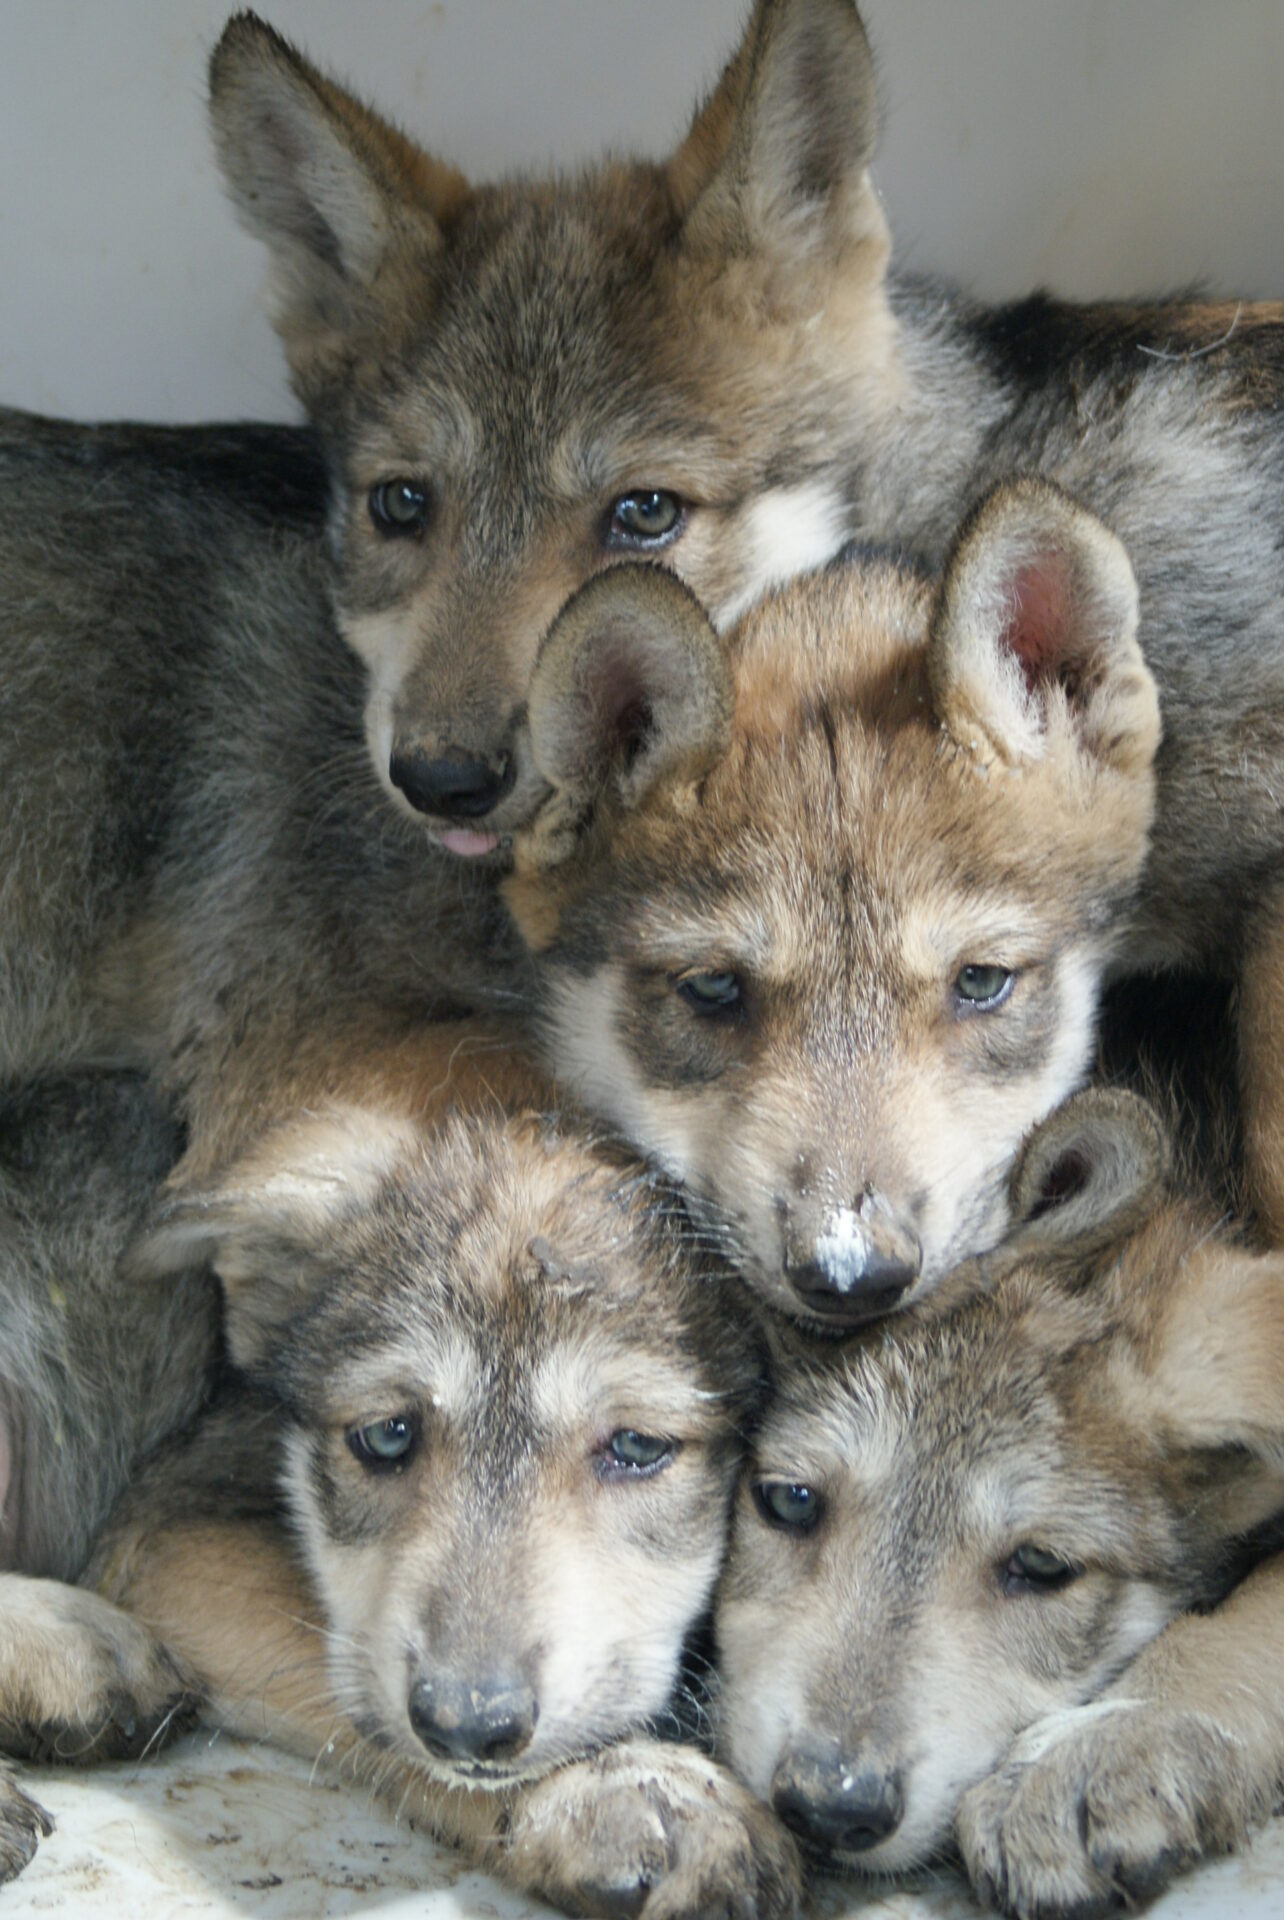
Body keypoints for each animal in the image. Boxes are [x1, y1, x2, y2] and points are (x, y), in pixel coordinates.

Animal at [0, 1027, 799, 1917]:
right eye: (387, 1437)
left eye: (636, 1448)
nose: (466, 1726)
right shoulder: (167, 1528)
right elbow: (356, 1678)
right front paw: (619, 1786)